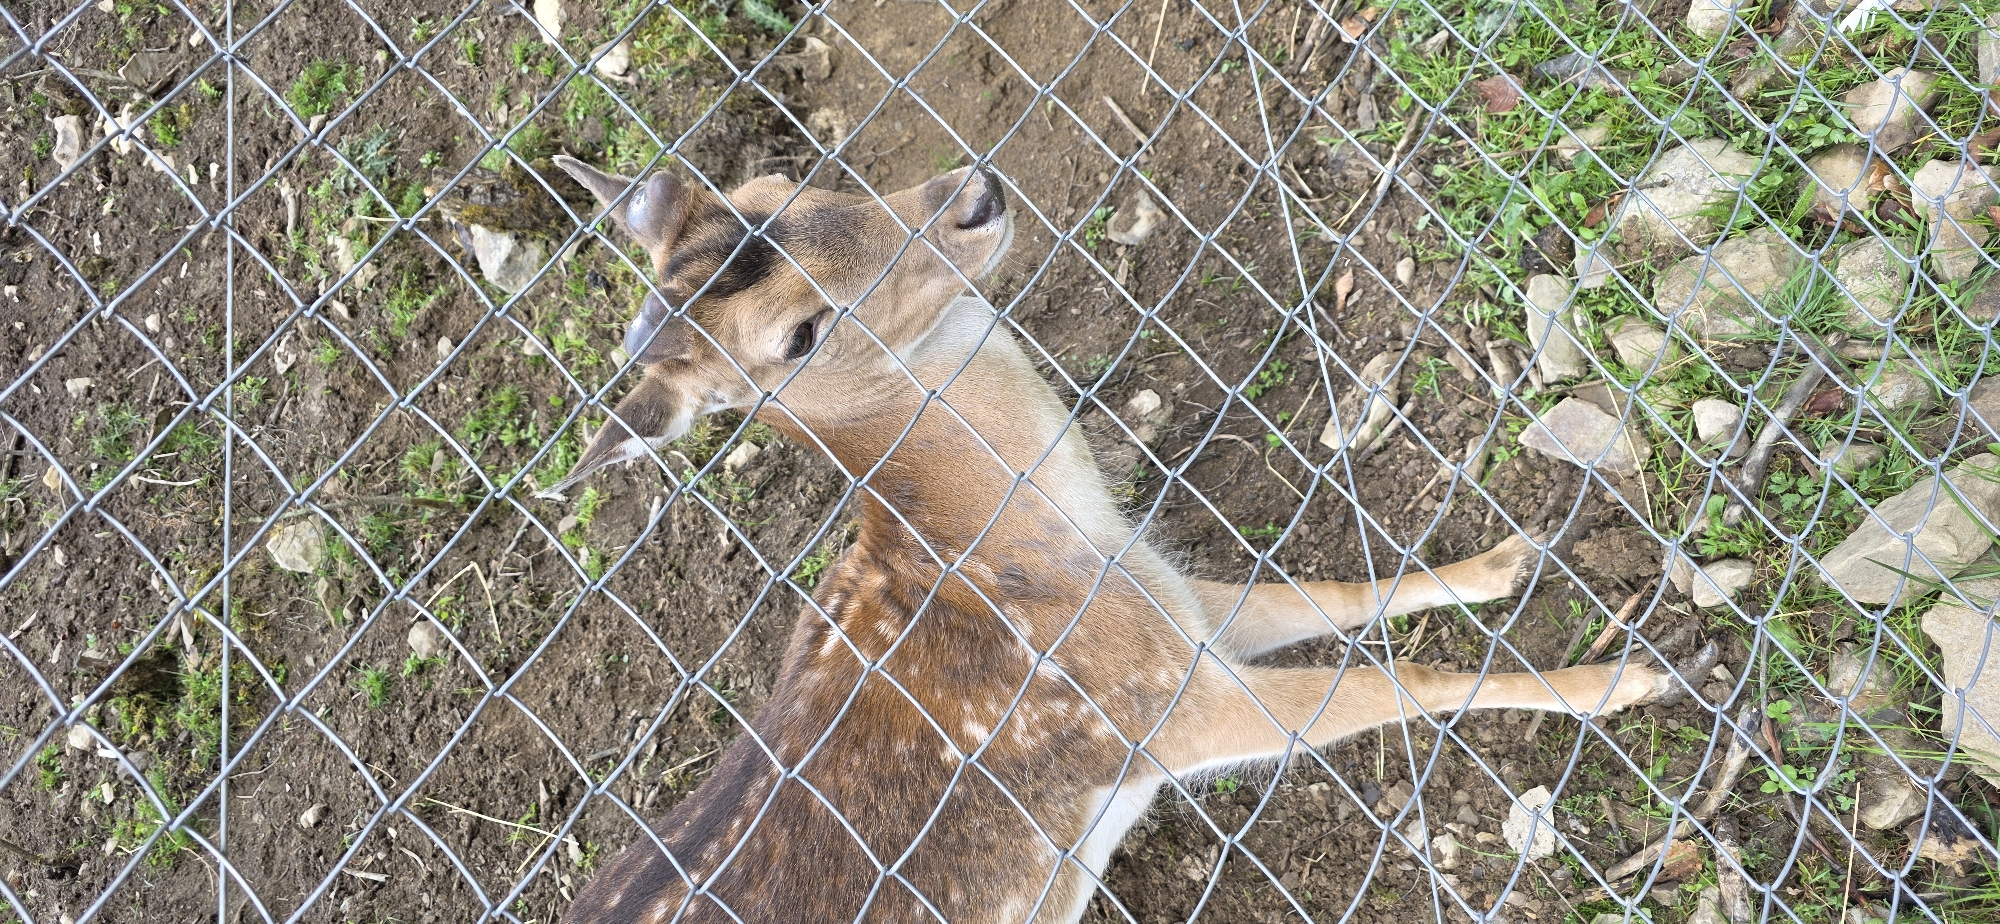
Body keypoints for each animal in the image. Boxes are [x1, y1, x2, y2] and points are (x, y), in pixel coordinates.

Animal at [541, 156, 1717, 924]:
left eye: (774, 186)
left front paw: (1511, 559)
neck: (1034, 542)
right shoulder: (1157, 710)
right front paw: (1631, 679)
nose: (969, 197)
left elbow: (1333, 595)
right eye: (798, 336)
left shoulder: (1180, 614)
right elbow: (1399, 683)